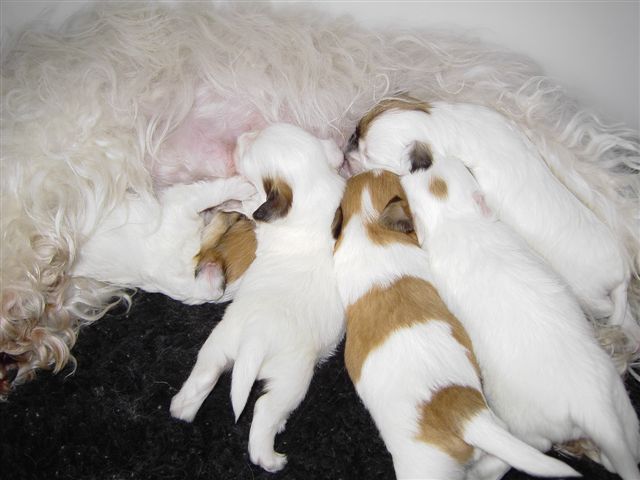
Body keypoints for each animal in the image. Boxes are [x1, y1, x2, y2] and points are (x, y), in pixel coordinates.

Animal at [348, 97, 636, 344]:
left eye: (368, 156)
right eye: (359, 128)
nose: (349, 140)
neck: (443, 127)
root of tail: (622, 275)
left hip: (589, 294)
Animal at [402, 155, 640, 480]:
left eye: (422, 170)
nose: (458, 160)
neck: (458, 219)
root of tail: (593, 409)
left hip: (523, 423)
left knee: (530, 448)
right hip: (620, 405)